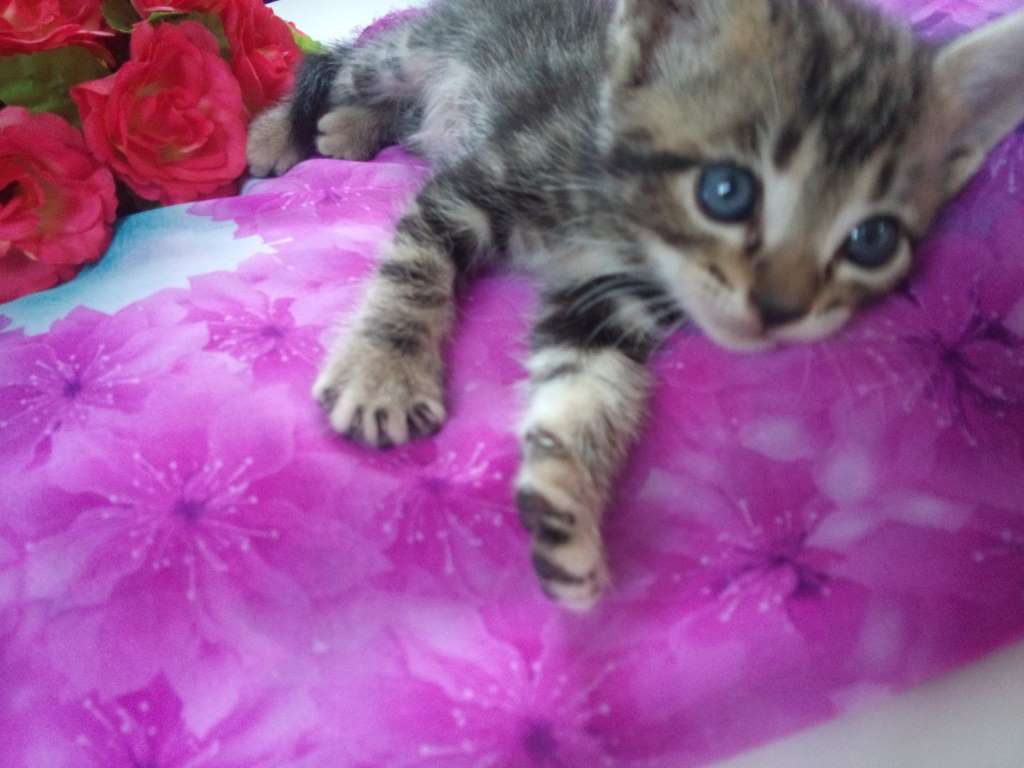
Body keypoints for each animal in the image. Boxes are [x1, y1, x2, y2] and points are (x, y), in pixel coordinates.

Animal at [247, 0, 1024, 611]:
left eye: (872, 239)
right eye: (726, 191)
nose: (781, 308)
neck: (631, 229)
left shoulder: (609, 303)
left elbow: (588, 388)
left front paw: (566, 502)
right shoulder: (476, 185)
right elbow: (415, 269)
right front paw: (384, 371)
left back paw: (349, 129)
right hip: (416, 49)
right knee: (345, 62)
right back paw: (283, 131)